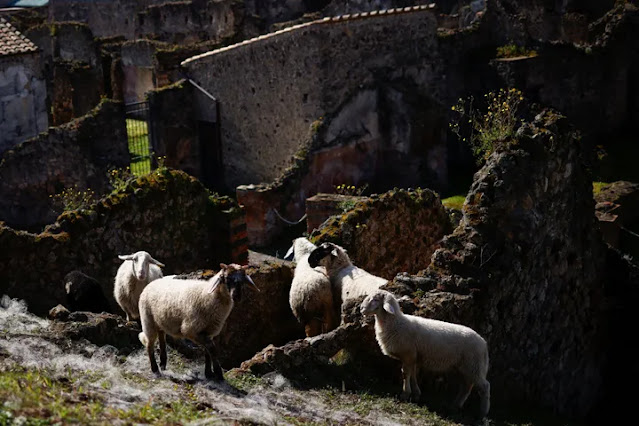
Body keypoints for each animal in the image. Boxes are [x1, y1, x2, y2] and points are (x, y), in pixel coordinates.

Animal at [360, 288, 490, 418]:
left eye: (375, 300)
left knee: (485, 386)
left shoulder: (408, 354)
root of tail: (483, 343)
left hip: (474, 366)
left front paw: (405, 394)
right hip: (463, 368)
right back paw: (455, 406)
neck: (396, 323)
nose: (361, 309)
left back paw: (483, 412)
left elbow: (405, 374)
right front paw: (416, 394)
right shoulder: (414, 357)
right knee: (466, 387)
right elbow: (413, 375)